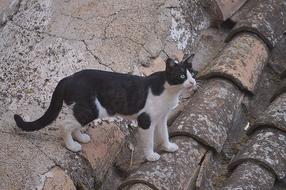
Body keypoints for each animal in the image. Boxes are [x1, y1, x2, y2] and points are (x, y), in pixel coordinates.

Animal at [13, 58, 197, 162]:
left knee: (74, 123)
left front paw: (168, 146)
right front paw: (150, 156)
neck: (170, 91)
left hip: (88, 108)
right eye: (182, 76)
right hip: (91, 109)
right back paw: (72, 146)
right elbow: (149, 141)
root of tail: (68, 77)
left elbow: (164, 133)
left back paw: (81, 138)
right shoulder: (146, 121)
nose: (193, 82)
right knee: (64, 125)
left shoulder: (161, 118)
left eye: (192, 73)